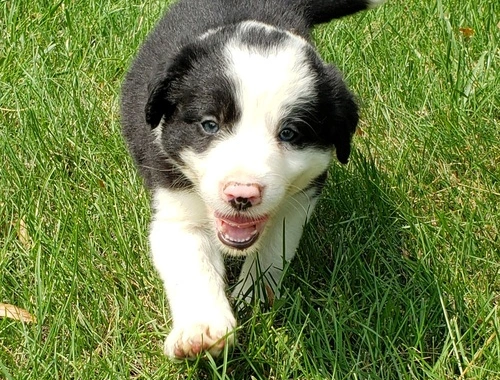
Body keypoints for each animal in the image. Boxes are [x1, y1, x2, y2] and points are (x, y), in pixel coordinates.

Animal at [120, 0, 382, 360]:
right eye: (209, 125)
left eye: (289, 133)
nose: (242, 194)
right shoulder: (175, 200)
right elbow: (192, 264)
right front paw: (202, 331)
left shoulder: (300, 196)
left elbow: (273, 248)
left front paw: (253, 298)